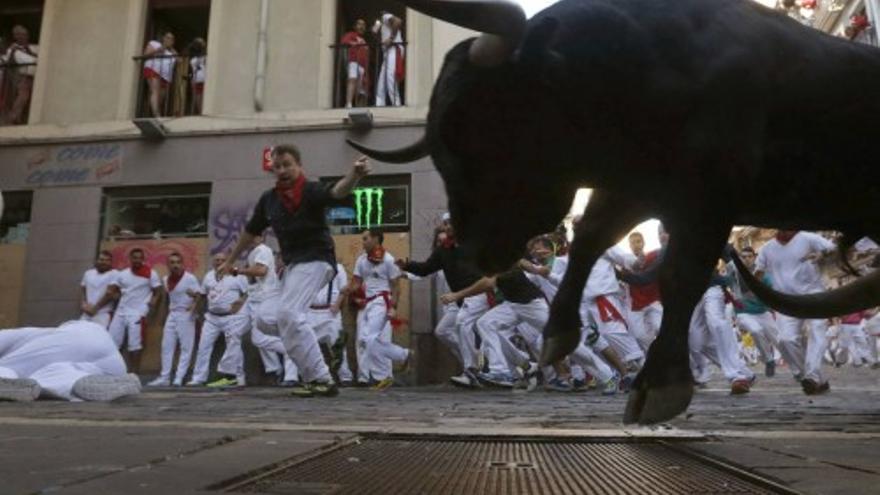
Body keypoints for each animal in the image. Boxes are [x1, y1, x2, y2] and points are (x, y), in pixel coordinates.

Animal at [348, 0, 880, 426]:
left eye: (478, 125)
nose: (474, 252)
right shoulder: (634, 188)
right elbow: (590, 237)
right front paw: (558, 333)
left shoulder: (708, 199)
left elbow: (679, 276)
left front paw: (660, 384)